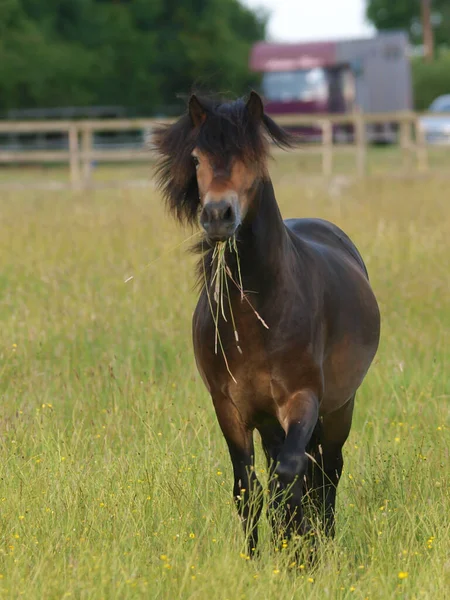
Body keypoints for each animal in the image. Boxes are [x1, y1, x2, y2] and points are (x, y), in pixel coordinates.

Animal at [154, 91, 380, 556]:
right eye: (197, 158)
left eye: (252, 155)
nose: (218, 215)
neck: (255, 317)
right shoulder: (230, 407)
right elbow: (247, 489)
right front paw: (259, 556)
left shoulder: (303, 398)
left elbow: (289, 476)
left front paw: (299, 548)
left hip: (340, 407)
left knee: (327, 470)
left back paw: (321, 538)